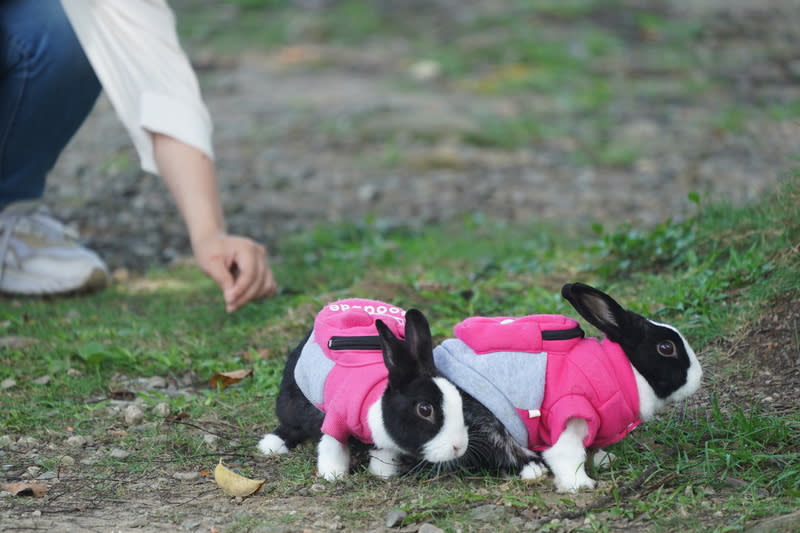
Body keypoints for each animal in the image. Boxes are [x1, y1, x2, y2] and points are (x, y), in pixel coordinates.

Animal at [256, 298, 468, 480]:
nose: (459, 447)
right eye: (424, 409)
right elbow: (332, 444)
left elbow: (384, 451)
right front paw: (333, 474)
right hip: (291, 400)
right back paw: (271, 444)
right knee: (290, 424)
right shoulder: (334, 417)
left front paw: (382, 474)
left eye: (460, 401)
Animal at [434, 280, 704, 492]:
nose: (698, 377)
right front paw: (579, 484)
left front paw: (604, 459)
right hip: (485, 420)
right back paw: (532, 468)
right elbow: (567, 452)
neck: (622, 369)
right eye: (666, 348)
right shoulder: (570, 413)